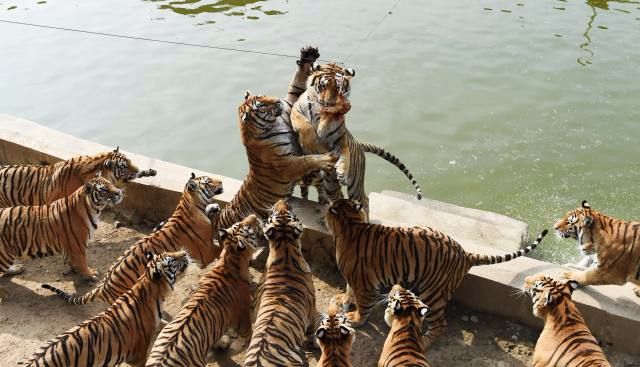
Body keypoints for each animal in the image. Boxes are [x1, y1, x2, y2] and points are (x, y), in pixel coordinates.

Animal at [42, 174, 225, 306]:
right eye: (208, 181)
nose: (222, 181)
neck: (190, 204)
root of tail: (104, 285)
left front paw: (214, 208)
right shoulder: (206, 252)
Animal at [242, 201, 318, 367]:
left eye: (284, 210)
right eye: (279, 211)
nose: (282, 201)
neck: (285, 248)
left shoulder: (256, 305)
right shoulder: (311, 309)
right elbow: (311, 330)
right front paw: (313, 343)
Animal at [292, 61, 424, 214]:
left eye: (338, 88)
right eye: (323, 86)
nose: (329, 104)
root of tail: (359, 144)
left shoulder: (340, 138)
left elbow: (343, 154)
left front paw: (341, 170)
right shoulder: (296, 111)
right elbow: (304, 124)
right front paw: (311, 139)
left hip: (353, 184)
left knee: (364, 200)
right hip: (330, 184)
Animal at [324, 200, 552, 350]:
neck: (350, 223)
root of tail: (465, 253)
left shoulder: (362, 282)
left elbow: (362, 304)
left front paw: (355, 319)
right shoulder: (354, 278)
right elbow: (348, 291)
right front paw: (343, 300)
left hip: (433, 291)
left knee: (440, 325)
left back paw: (424, 343)